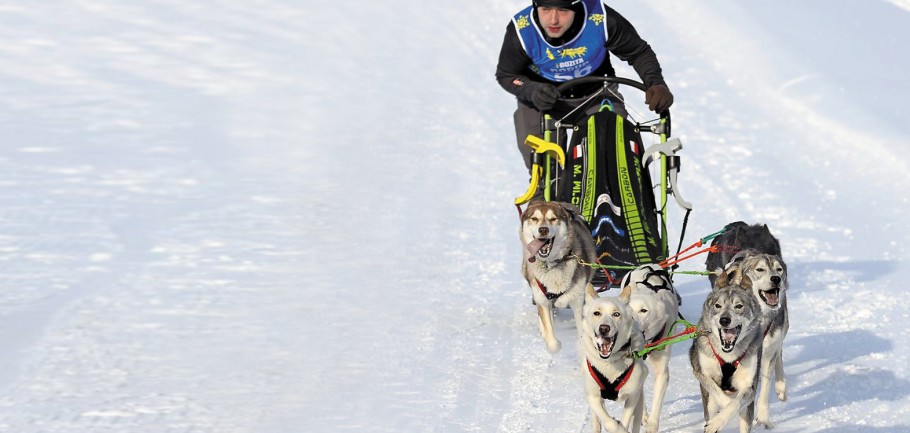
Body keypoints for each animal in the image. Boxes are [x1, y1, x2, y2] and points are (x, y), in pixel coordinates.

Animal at [520, 201, 600, 352]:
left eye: (553, 219)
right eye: (534, 218)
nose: (543, 230)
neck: (552, 264)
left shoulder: (579, 302)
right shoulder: (543, 301)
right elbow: (553, 343)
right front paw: (551, 340)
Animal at [576, 296, 648, 432]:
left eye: (616, 314)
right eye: (597, 313)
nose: (604, 328)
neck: (610, 363)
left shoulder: (632, 395)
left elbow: (625, 420)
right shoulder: (592, 395)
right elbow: (608, 421)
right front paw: (615, 425)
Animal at [692, 280, 764, 432]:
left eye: (739, 306)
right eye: (718, 305)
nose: (724, 320)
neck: (728, 357)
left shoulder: (749, 386)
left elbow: (736, 404)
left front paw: (717, 421)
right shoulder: (701, 373)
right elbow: (721, 396)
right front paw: (717, 419)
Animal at [720, 251, 792, 426]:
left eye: (779, 269)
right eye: (760, 269)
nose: (776, 279)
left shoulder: (767, 354)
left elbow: (764, 388)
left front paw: (764, 419)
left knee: (778, 353)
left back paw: (781, 386)